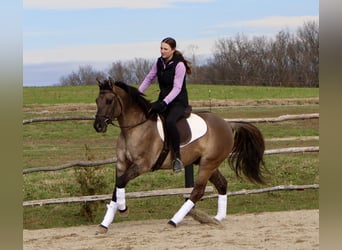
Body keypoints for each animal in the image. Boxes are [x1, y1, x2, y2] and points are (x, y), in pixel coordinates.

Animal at [93, 76, 268, 232]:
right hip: (207, 163)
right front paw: (105, 224)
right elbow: (117, 186)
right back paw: (216, 219)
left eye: (109, 101)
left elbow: (121, 182)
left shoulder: (142, 165)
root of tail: (227, 124)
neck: (135, 127)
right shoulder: (122, 164)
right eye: (96, 101)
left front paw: (123, 210)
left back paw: (174, 221)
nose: (98, 126)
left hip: (208, 163)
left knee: (198, 191)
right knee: (222, 184)